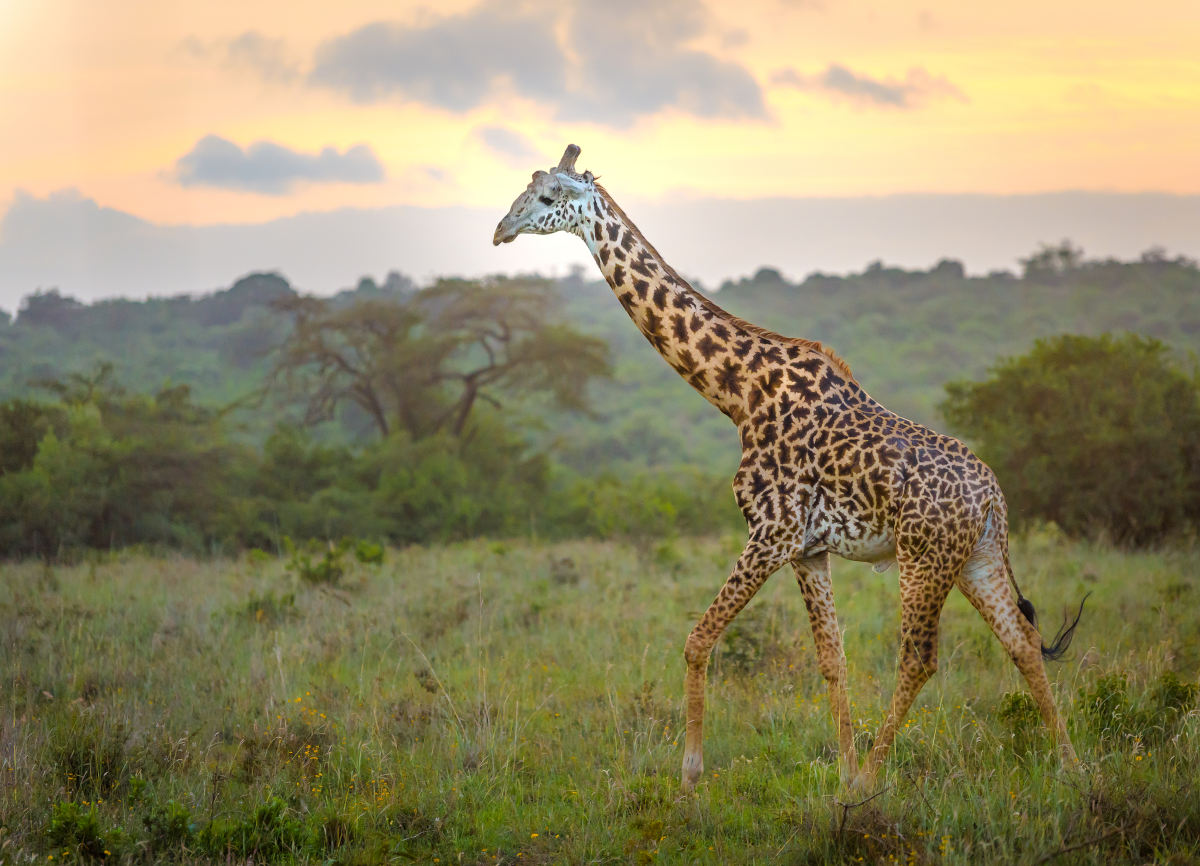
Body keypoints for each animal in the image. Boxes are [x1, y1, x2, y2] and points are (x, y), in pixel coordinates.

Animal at [492, 143, 1084, 791]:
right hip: (975, 557)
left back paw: (873, 780)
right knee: (1023, 643)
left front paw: (692, 774)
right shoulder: (808, 548)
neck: (737, 392)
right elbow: (833, 659)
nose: (501, 230)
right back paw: (1072, 768)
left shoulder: (771, 532)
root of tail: (993, 497)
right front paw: (840, 772)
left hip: (924, 558)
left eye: (549, 197)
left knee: (919, 658)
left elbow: (698, 640)